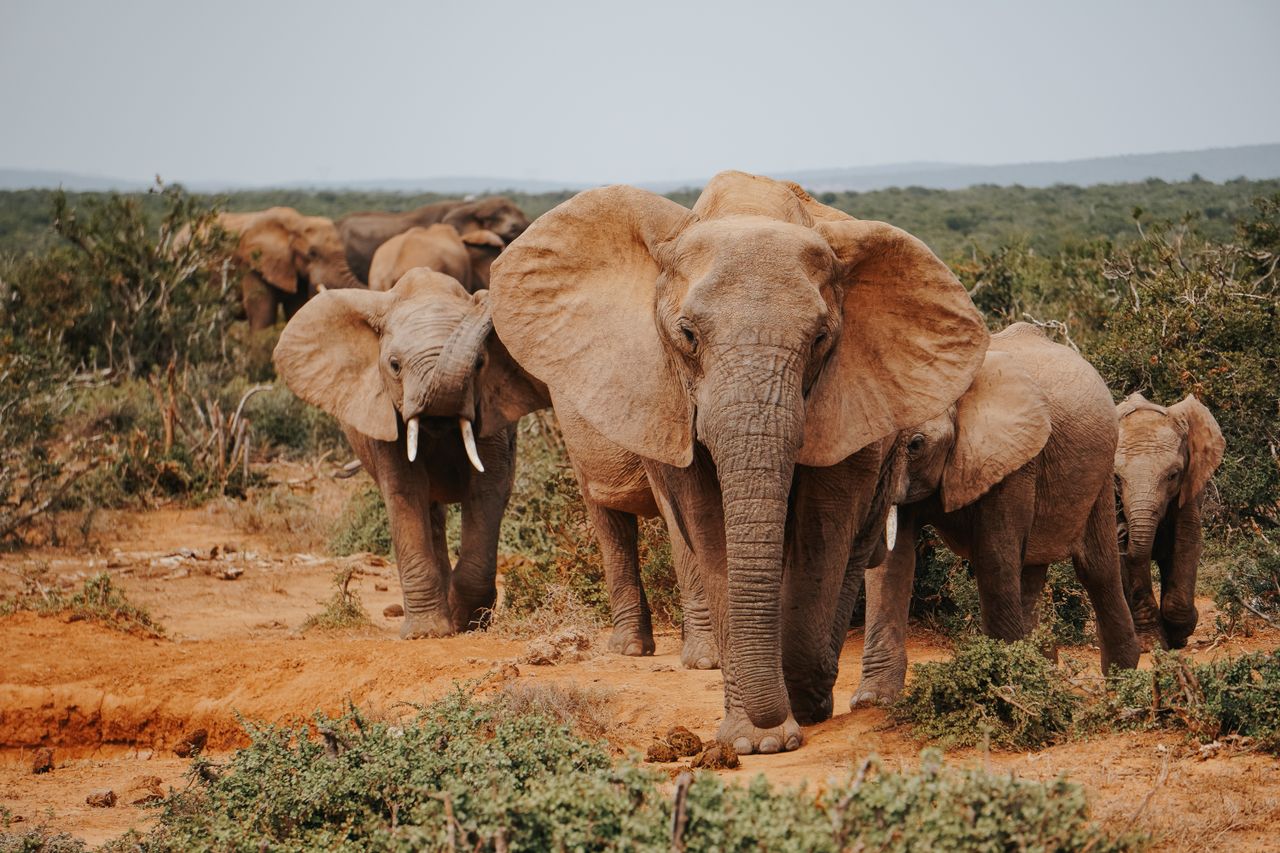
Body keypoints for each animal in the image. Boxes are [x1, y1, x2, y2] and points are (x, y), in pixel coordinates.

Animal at [274, 269, 549, 636]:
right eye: (394, 365)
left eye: (480, 363)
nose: (484, 298)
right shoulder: (384, 414)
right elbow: (405, 491)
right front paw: (427, 633)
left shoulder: (492, 412)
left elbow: (488, 488)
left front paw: (467, 624)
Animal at [490, 171, 987, 753]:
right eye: (687, 336)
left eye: (821, 339)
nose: (781, 723)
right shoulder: (666, 391)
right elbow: (707, 527)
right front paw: (753, 739)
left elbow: (824, 523)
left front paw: (793, 714)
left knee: (857, 543)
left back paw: (814, 691)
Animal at [853, 323, 1142, 707]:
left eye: (916, 444)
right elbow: (892, 563)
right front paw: (872, 700)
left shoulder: (1012, 459)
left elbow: (993, 555)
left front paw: (1002, 688)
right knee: (1031, 571)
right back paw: (1043, 673)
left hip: (1101, 470)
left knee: (1096, 568)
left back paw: (1121, 680)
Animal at [1114, 392, 1224, 650]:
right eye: (1116, 479)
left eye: (1173, 475)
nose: (1122, 530)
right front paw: (1150, 644)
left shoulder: (1191, 484)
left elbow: (1187, 541)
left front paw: (1180, 633)